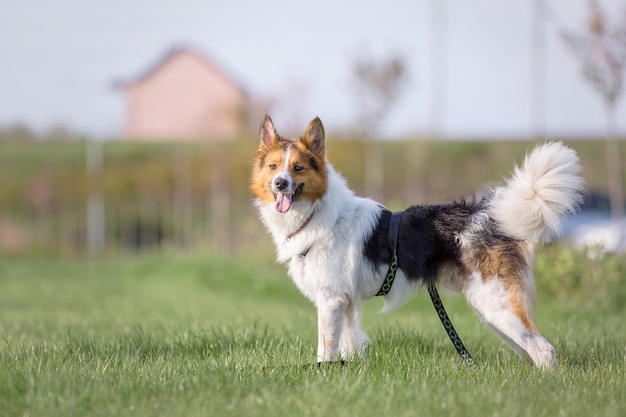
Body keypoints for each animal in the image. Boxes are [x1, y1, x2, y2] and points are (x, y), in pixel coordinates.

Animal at [249, 114, 580, 368]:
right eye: (273, 167)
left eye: (298, 168)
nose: (280, 184)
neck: (317, 214)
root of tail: (492, 215)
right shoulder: (345, 304)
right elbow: (347, 344)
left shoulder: (331, 301)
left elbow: (325, 349)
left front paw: (323, 373)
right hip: (494, 311)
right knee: (529, 350)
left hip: (496, 305)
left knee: (544, 350)